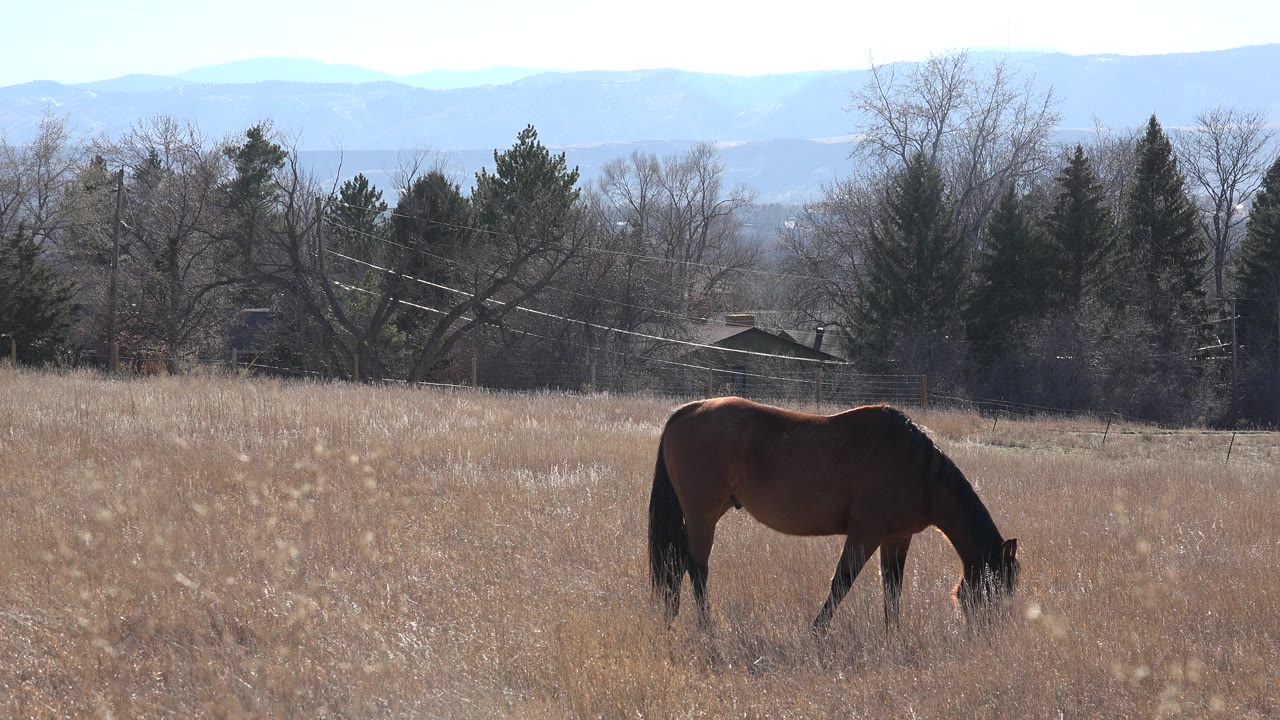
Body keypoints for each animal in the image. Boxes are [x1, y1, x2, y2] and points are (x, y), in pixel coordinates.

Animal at [647, 397, 1019, 633]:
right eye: (997, 586)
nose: (988, 634)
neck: (916, 468)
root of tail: (687, 411)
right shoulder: (865, 533)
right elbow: (842, 582)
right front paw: (818, 632)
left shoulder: (896, 538)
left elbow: (892, 589)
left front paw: (892, 635)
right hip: (703, 517)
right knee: (696, 569)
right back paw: (707, 628)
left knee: (676, 565)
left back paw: (671, 619)